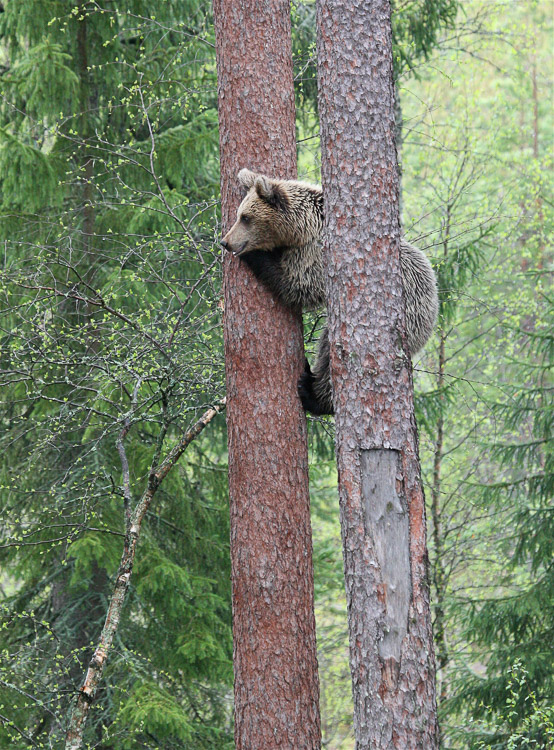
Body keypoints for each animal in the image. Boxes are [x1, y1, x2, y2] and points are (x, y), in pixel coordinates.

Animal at [220, 168, 438, 415]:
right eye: (239, 214)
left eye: (246, 217)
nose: (225, 242)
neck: (303, 228)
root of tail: (434, 306)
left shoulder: (315, 255)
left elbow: (297, 285)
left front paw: (255, 255)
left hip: (406, 315)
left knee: (328, 353)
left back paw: (312, 393)